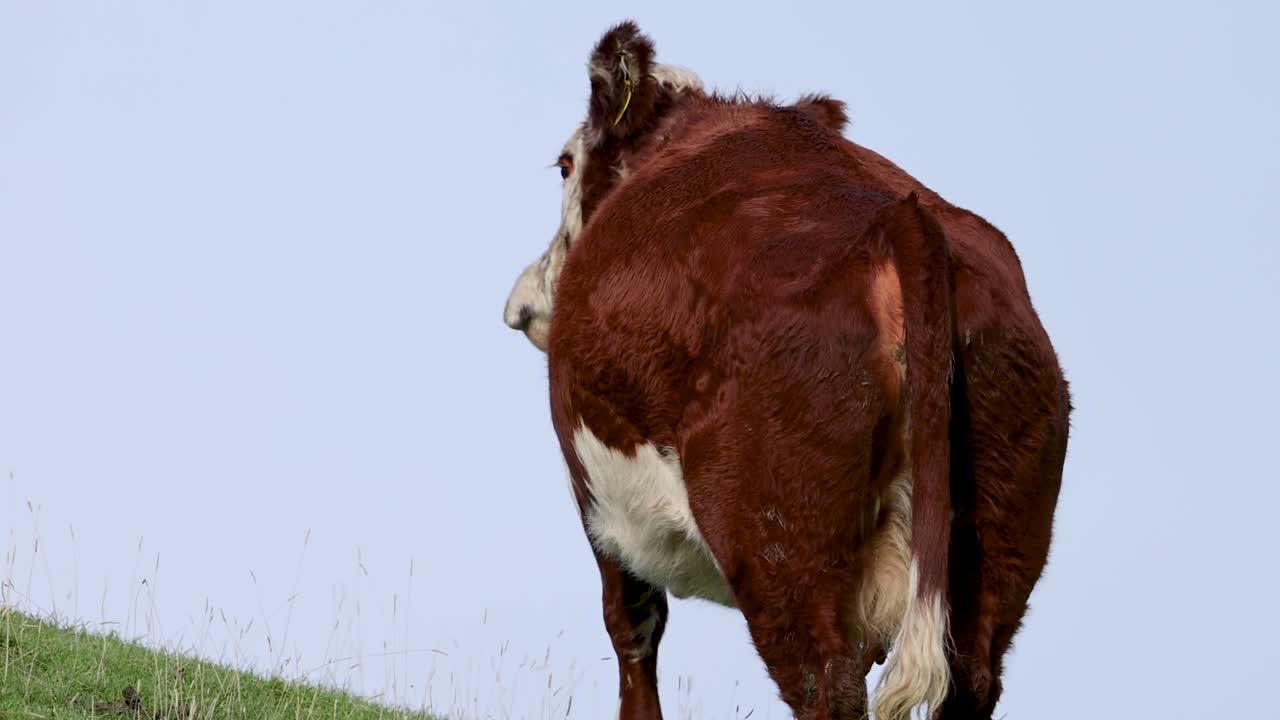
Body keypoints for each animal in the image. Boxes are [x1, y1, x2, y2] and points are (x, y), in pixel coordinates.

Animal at [503, 22, 1070, 720]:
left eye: (564, 164)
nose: (522, 304)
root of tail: (901, 221)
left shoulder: (596, 494)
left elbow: (631, 626)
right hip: (999, 531)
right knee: (970, 680)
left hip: (777, 530)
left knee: (822, 682)